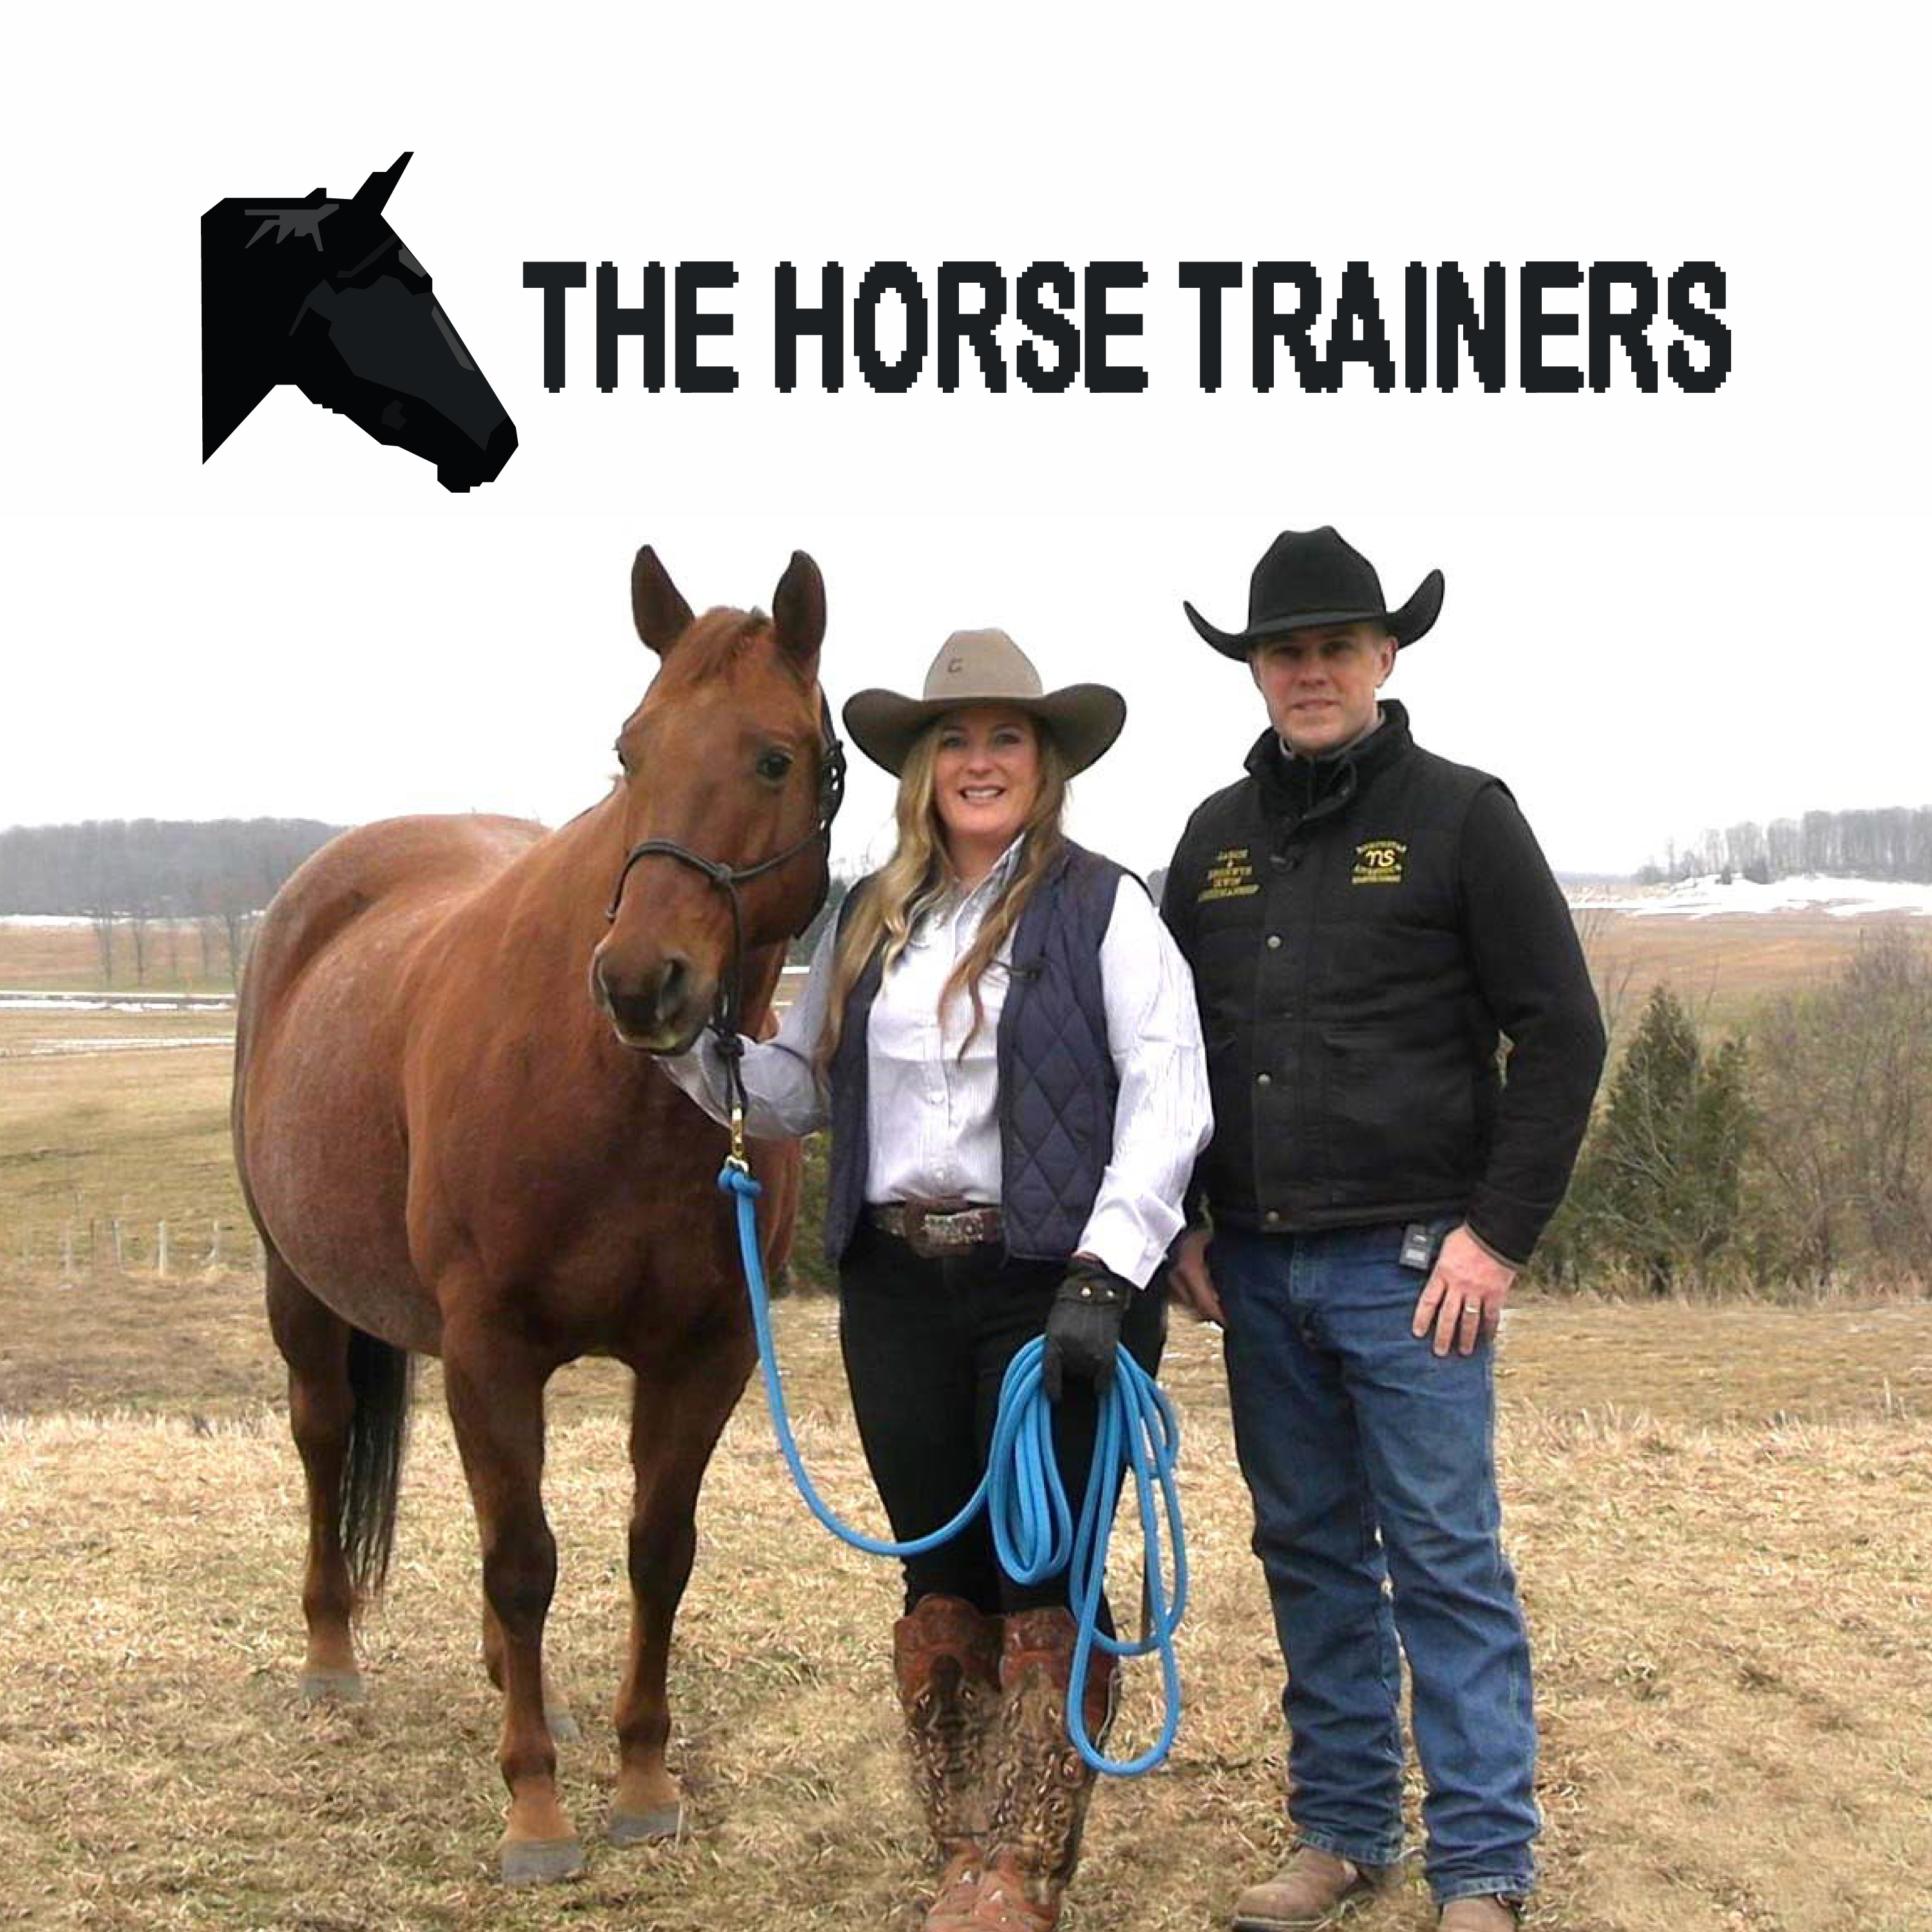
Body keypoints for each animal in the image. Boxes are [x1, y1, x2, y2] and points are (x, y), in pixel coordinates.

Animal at [232, 548, 837, 1882]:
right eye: (630, 748)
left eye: (776, 757)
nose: (642, 984)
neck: (610, 1097)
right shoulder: (492, 1346)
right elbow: (523, 1564)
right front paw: (538, 1811)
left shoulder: (707, 1354)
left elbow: (657, 1554)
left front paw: (644, 1781)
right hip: (300, 1287)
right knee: (321, 1438)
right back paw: (331, 1658)